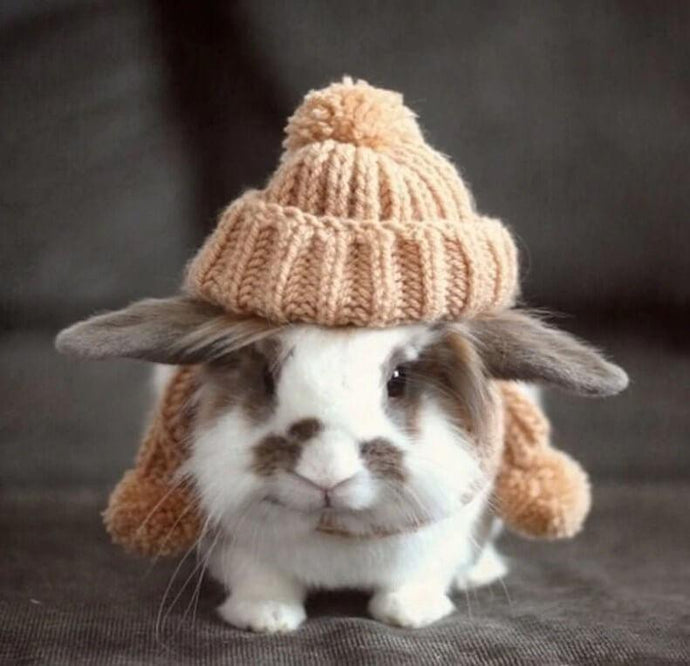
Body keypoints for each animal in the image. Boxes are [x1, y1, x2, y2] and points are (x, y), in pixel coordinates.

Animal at [56, 296, 627, 632]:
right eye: (267, 378)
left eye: (397, 379)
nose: (325, 472)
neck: (335, 528)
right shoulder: (236, 543)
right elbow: (260, 580)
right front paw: (266, 619)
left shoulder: (444, 535)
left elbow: (419, 576)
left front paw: (409, 614)